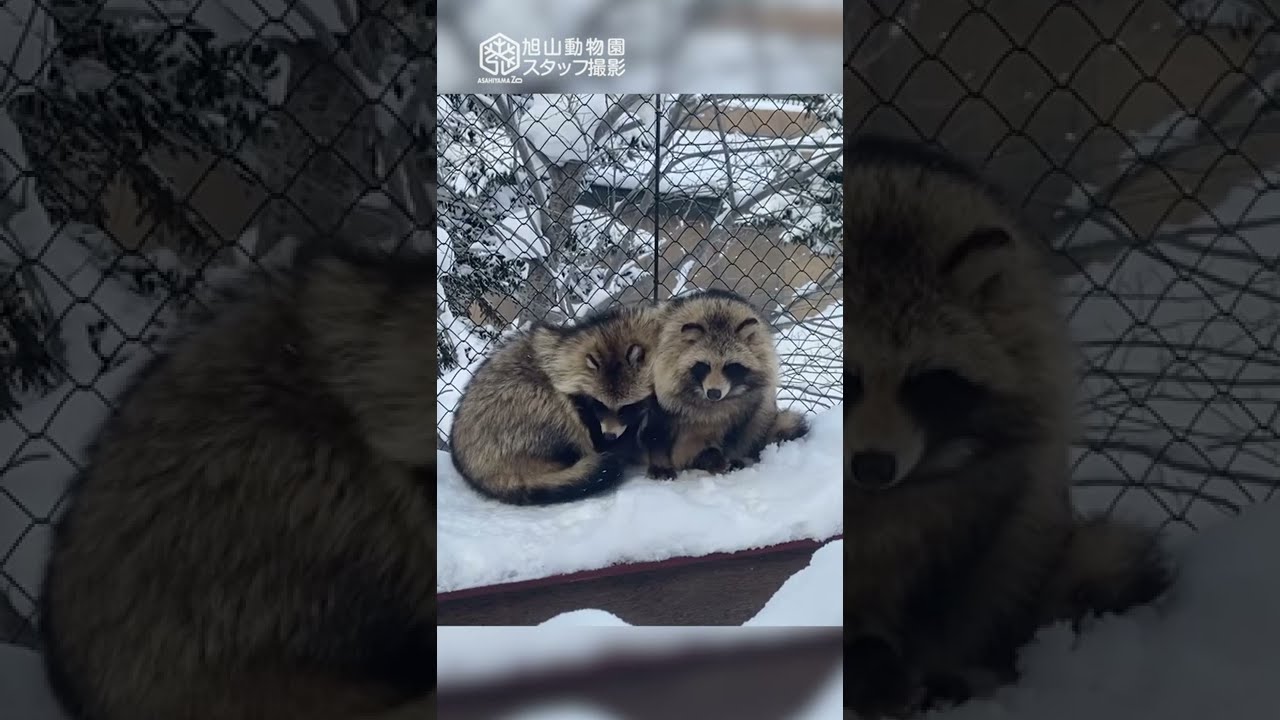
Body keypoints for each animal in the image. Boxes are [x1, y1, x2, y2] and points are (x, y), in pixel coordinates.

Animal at [645, 289, 808, 478]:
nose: (714, 393)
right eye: (704, 365)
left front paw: (730, 457)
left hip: (762, 410)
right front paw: (660, 463)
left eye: (730, 367)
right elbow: (657, 432)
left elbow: (735, 434)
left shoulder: (746, 404)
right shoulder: (663, 382)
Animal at [841, 135, 1170, 718]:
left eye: (923, 383)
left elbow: (942, 585)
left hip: (1027, 520)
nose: (873, 467)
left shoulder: (977, 489)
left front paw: (908, 667)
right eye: (846, 378)